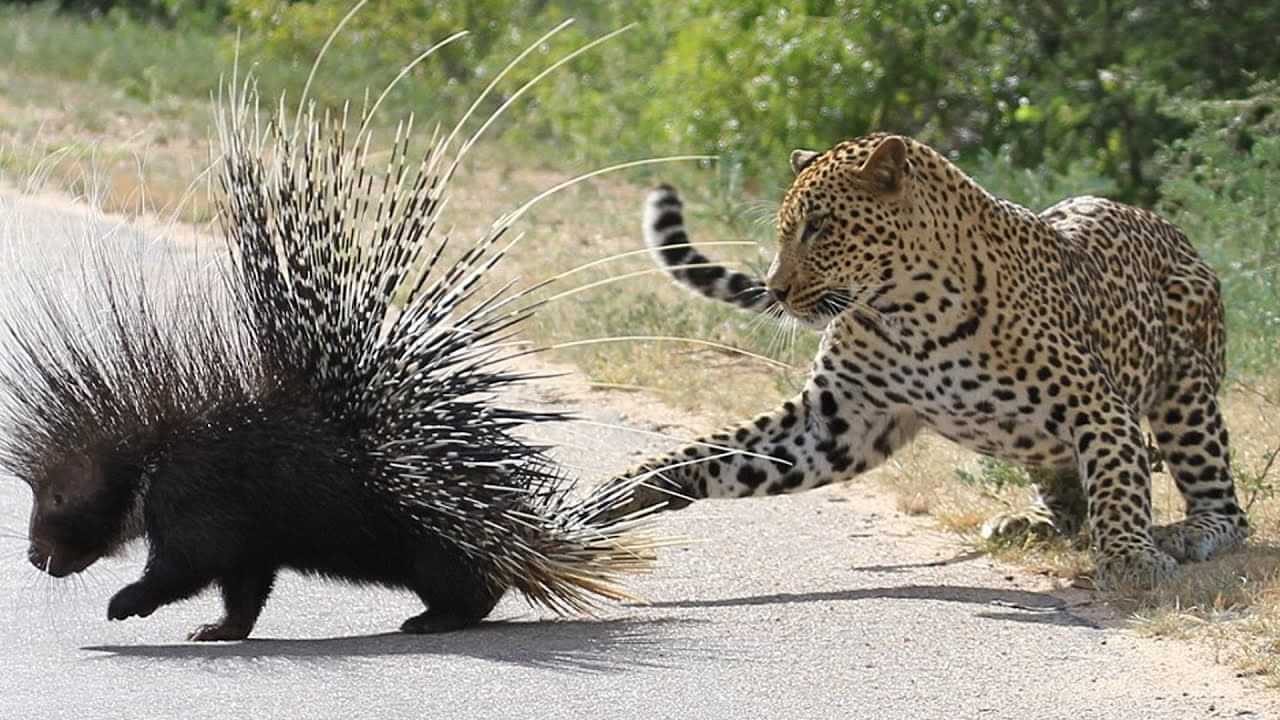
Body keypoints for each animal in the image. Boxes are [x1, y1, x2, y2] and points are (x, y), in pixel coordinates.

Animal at [605, 132, 1249, 587]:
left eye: (819, 227)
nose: (776, 290)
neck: (908, 311)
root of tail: (1173, 232)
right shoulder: (836, 421)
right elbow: (716, 453)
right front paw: (628, 490)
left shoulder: (1096, 406)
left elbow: (1119, 484)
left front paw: (1130, 559)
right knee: (1065, 482)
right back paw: (1033, 522)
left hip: (1186, 389)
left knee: (1226, 505)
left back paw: (1189, 532)